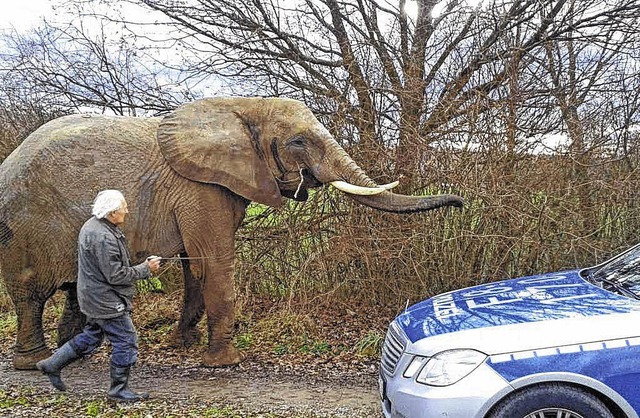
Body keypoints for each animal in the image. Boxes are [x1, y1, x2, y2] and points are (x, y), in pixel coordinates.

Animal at [0, 95, 462, 370]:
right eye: (298, 142)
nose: (460, 203)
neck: (244, 106)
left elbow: (194, 267)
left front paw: (183, 346)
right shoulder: (200, 189)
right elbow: (214, 263)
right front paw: (224, 362)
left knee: (73, 288)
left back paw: (75, 356)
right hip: (24, 225)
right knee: (30, 292)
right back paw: (33, 362)